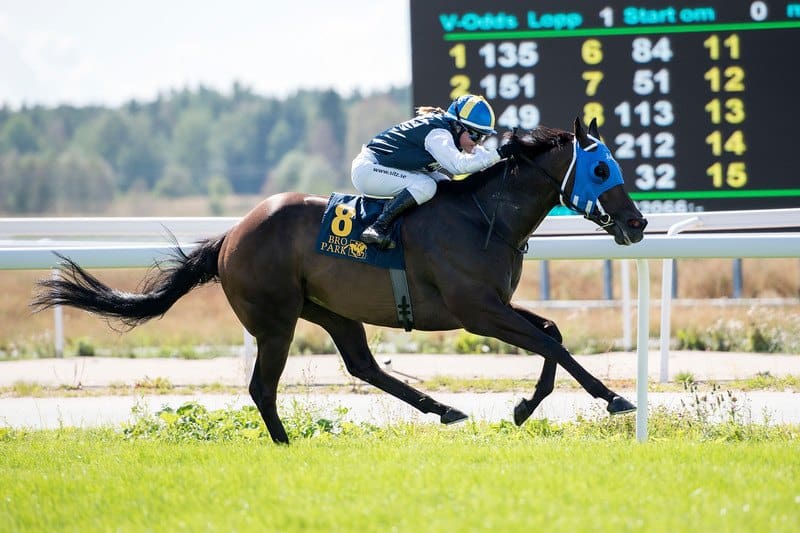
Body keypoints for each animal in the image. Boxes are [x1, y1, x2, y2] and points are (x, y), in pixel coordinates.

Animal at [34, 118, 652, 442]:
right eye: (602, 168)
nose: (638, 223)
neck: (483, 216)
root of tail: (230, 236)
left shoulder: (495, 304)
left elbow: (552, 332)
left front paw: (531, 405)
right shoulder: (477, 311)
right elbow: (552, 342)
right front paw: (612, 399)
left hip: (330, 311)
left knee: (363, 366)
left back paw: (444, 409)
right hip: (275, 321)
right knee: (263, 387)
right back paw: (285, 444)